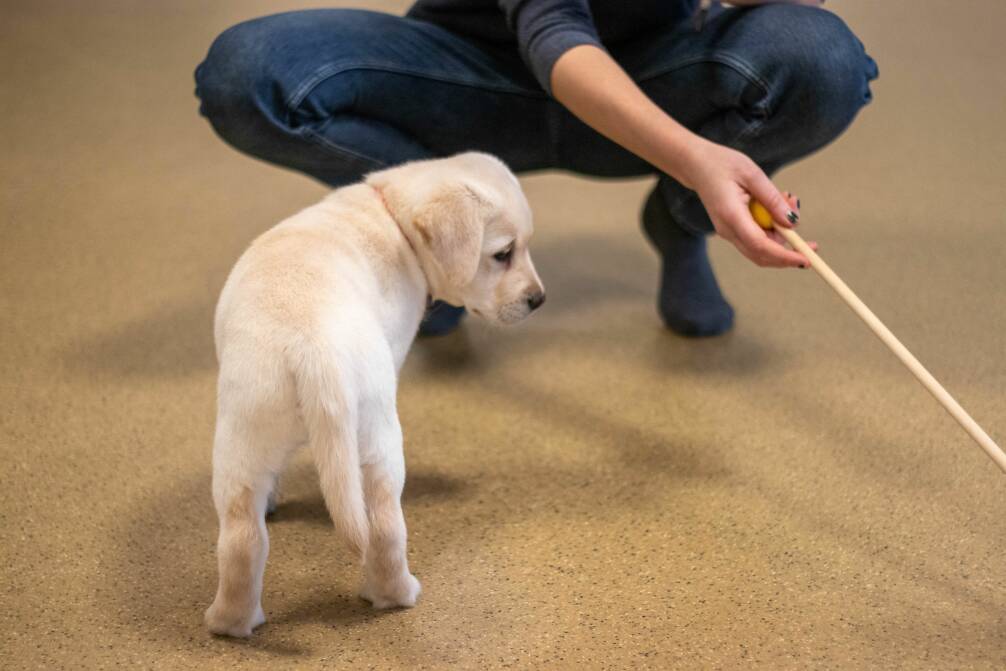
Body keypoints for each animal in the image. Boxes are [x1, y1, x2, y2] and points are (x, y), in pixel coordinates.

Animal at [203, 153, 543, 639]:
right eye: (502, 254)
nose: (539, 299)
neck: (392, 213)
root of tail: (315, 344)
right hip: (378, 439)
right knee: (383, 526)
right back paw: (397, 594)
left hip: (245, 438)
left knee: (242, 539)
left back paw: (229, 624)